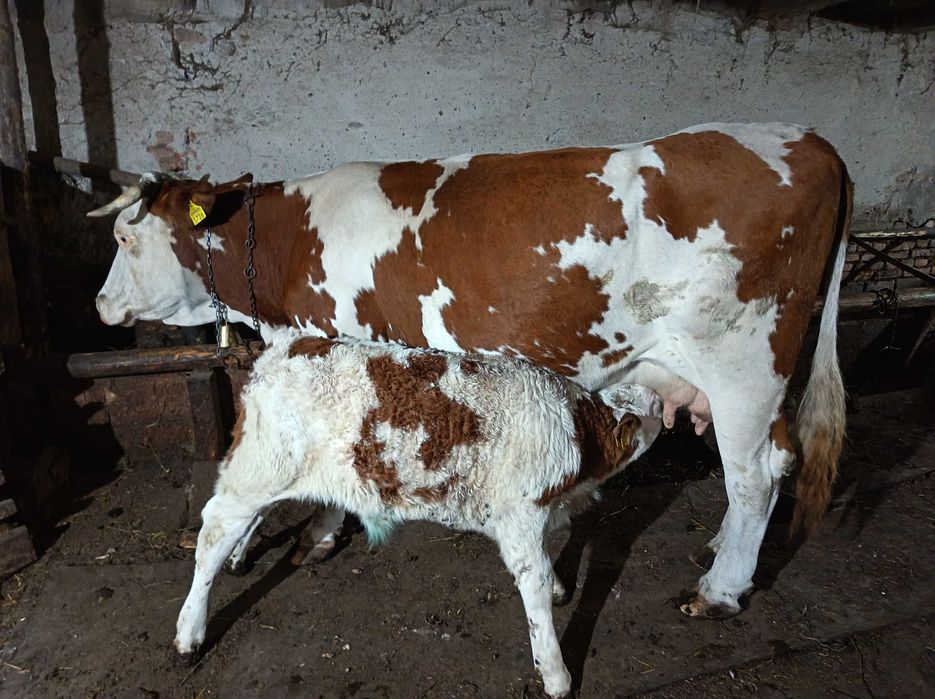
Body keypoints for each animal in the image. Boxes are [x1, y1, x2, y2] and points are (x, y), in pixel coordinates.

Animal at [90, 122, 851, 618]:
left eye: (125, 237)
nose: (99, 304)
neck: (287, 247)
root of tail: (806, 138)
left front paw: (316, 532)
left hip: (744, 364)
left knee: (753, 475)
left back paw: (719, 590)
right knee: (773, 461)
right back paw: (723, 553)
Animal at [173, 333, 663, 698]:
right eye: (652, 410)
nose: (664, 402)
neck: (578, 434)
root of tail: (285, 346)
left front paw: (562, 591)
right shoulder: (519, 515)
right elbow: (535, 584)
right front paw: (557, 675)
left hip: (270, 471)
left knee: (247, 519)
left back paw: (245, 557)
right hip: (262, 467)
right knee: (214, 530)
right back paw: (189, 633)